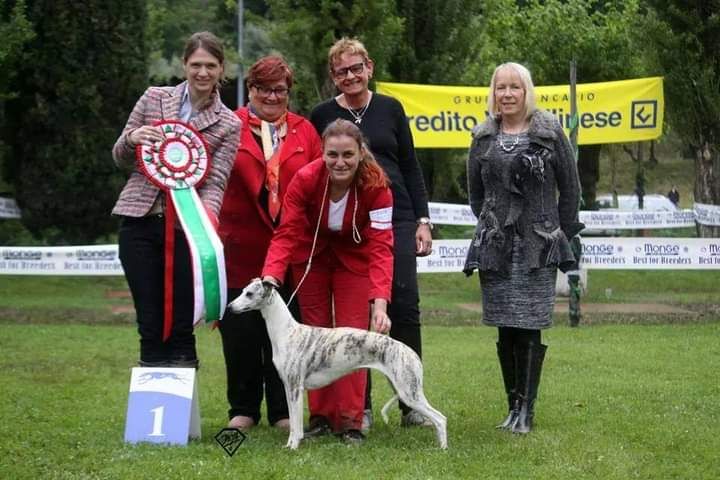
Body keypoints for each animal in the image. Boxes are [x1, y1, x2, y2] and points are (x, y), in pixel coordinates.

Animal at [228, 278, 448, 450]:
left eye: (249, 294)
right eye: (242, 291)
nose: (229, 307)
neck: (286, 332)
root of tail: (410, 352)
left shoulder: (295, 388)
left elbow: (296, 425)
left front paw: (293, 447)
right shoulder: (289, 387)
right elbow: (292, 423)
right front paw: (289, 445)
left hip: (409, 393)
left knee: (440, 418)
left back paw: (443, 449)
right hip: (403, 388)